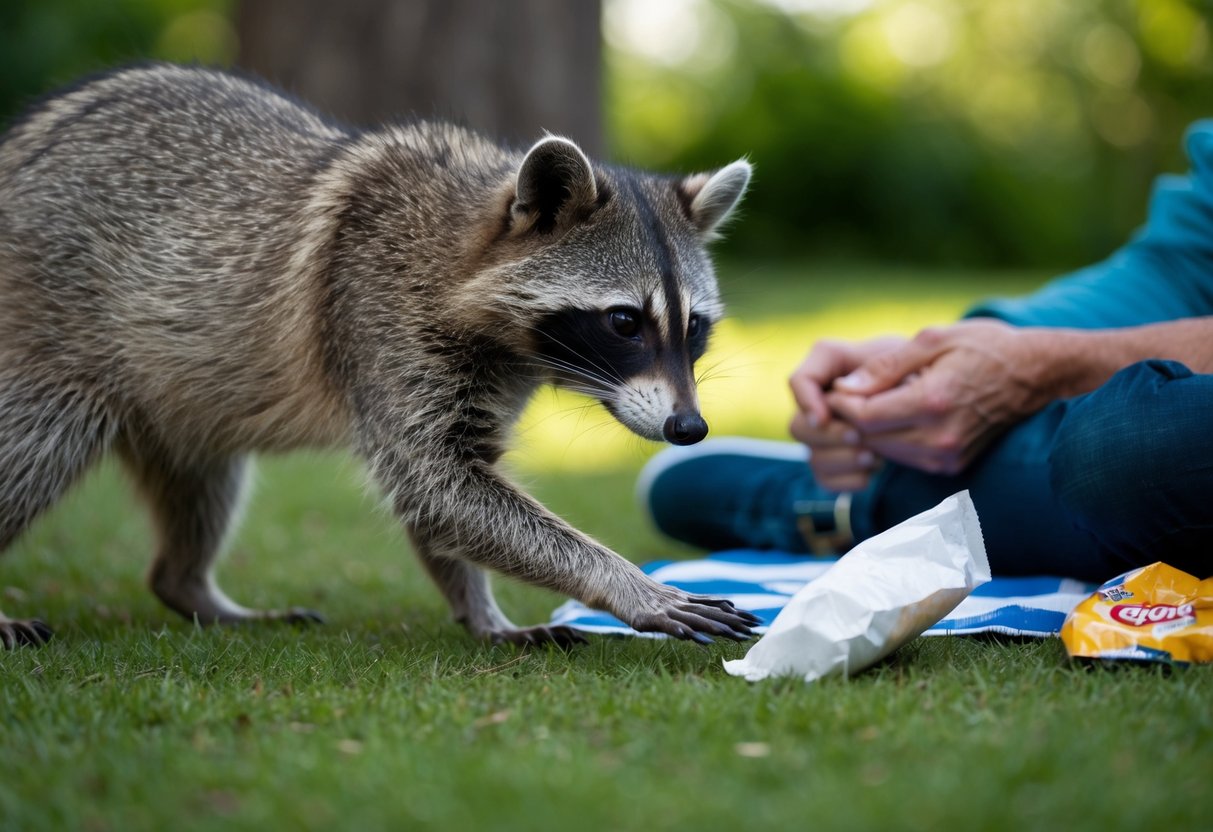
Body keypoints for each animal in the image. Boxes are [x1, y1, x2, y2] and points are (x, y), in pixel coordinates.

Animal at [0, 64, 758, 649]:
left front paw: (481, 610)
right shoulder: (375, 317)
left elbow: (450, 495)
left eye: (694, 328)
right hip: (47, 339)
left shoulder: (481, 376)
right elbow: (436, 485)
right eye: (624, 322)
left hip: (182, 391)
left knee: (201, 479)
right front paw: (623, 582)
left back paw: (188, 585)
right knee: (34, 450)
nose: (689, 429)